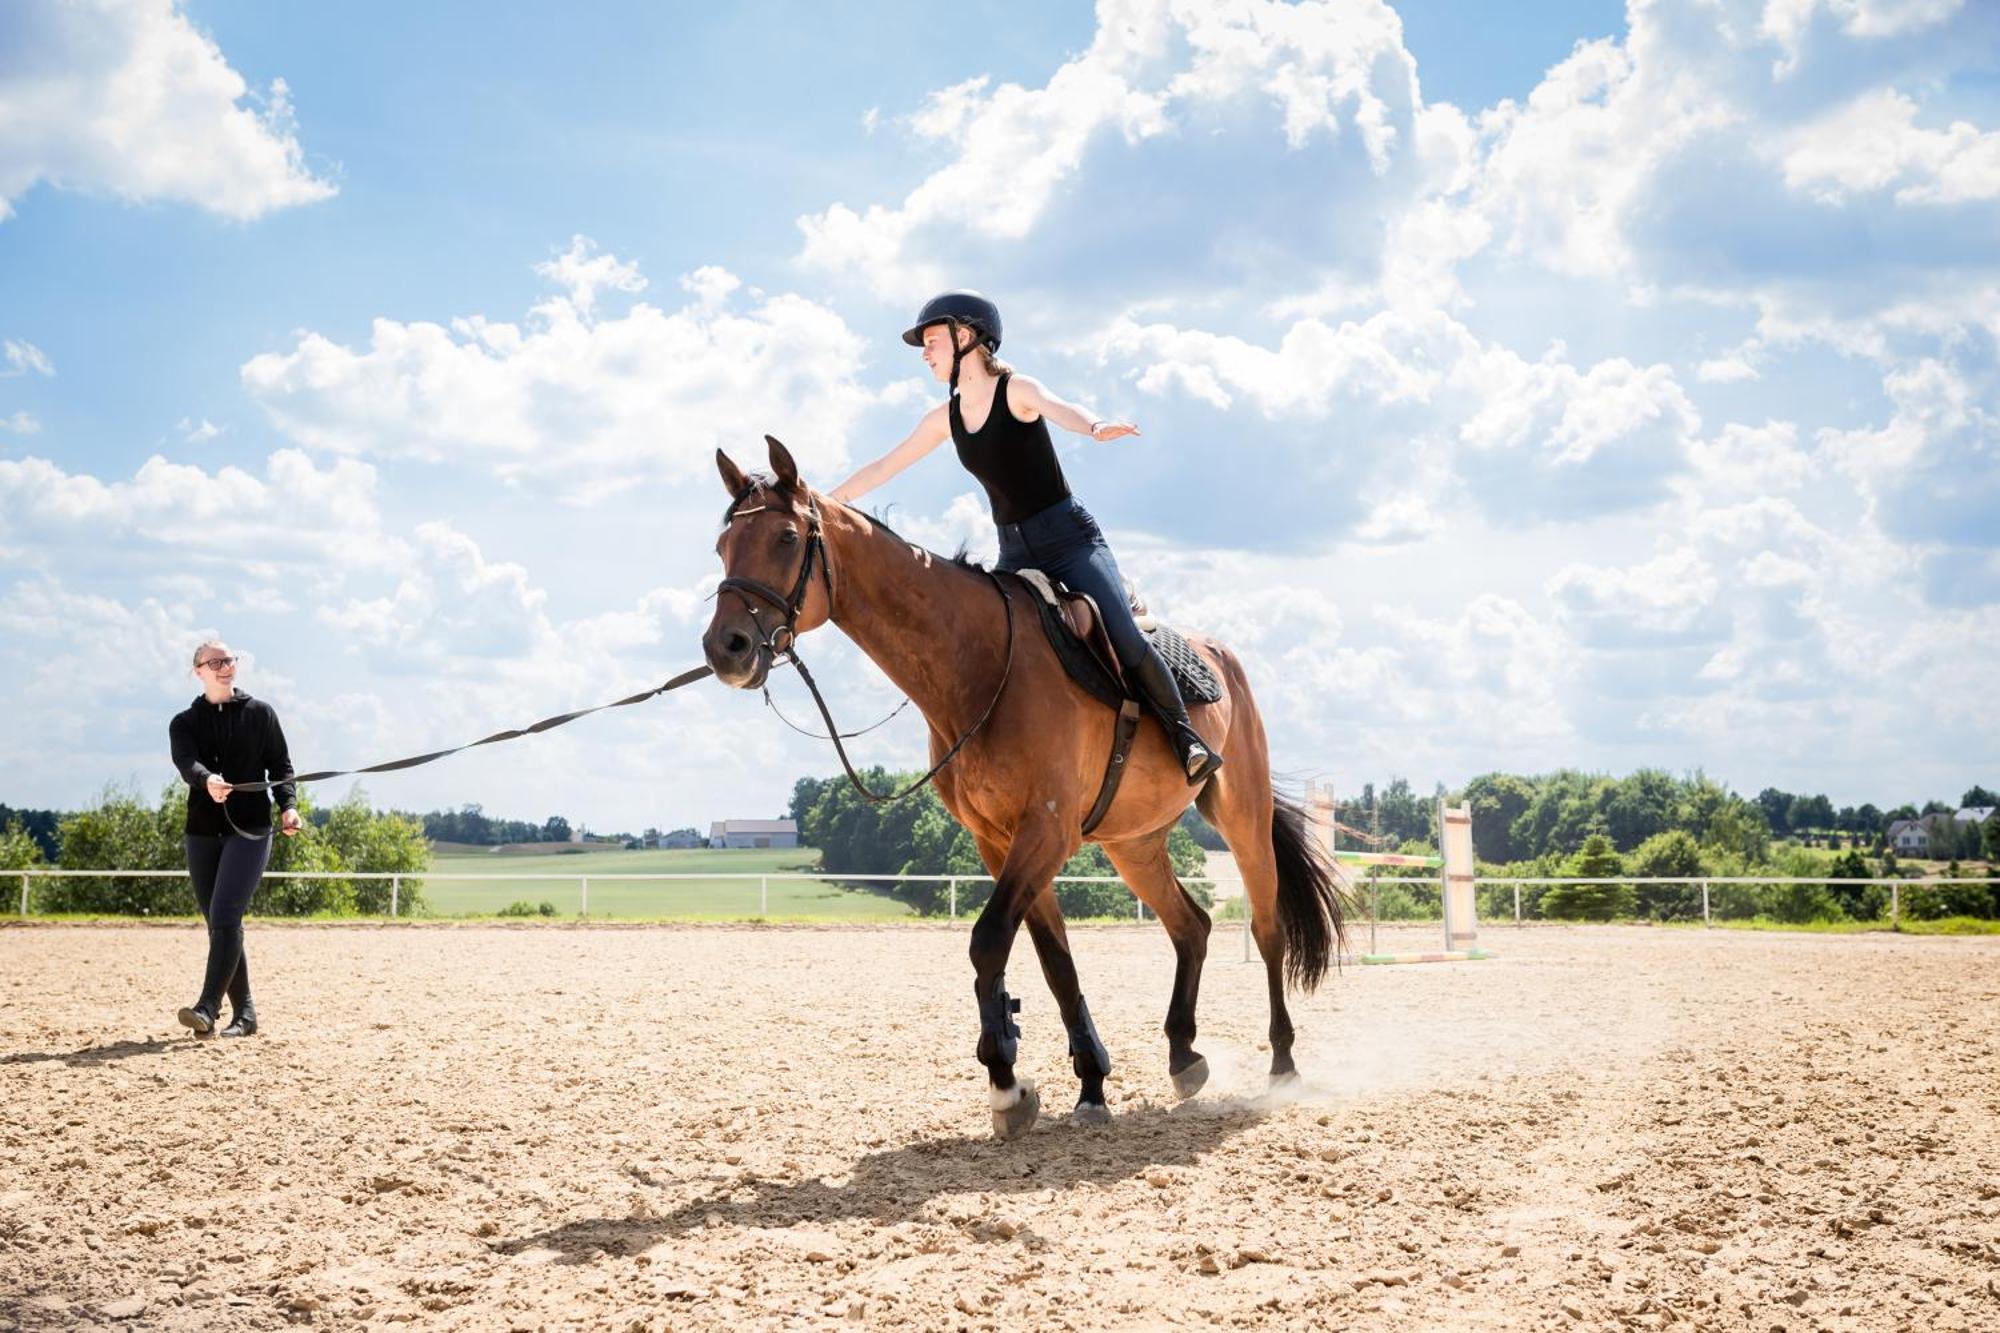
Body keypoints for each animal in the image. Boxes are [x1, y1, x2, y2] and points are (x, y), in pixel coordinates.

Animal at [704, 434, 1344, 1128]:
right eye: (722, 545)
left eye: (786, 537)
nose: (725, 648)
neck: (980, 665)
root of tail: (1220, 656)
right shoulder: (999, 840)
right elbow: (1052, 959)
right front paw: (1085, 1083)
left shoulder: (1046, 831)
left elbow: (989, 943)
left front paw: (1007, 1081)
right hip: (1134, 845)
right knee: (1191, 927)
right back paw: (1183, 1056)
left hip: (1242, 817)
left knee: (1266, 929)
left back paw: (1282, 1065)